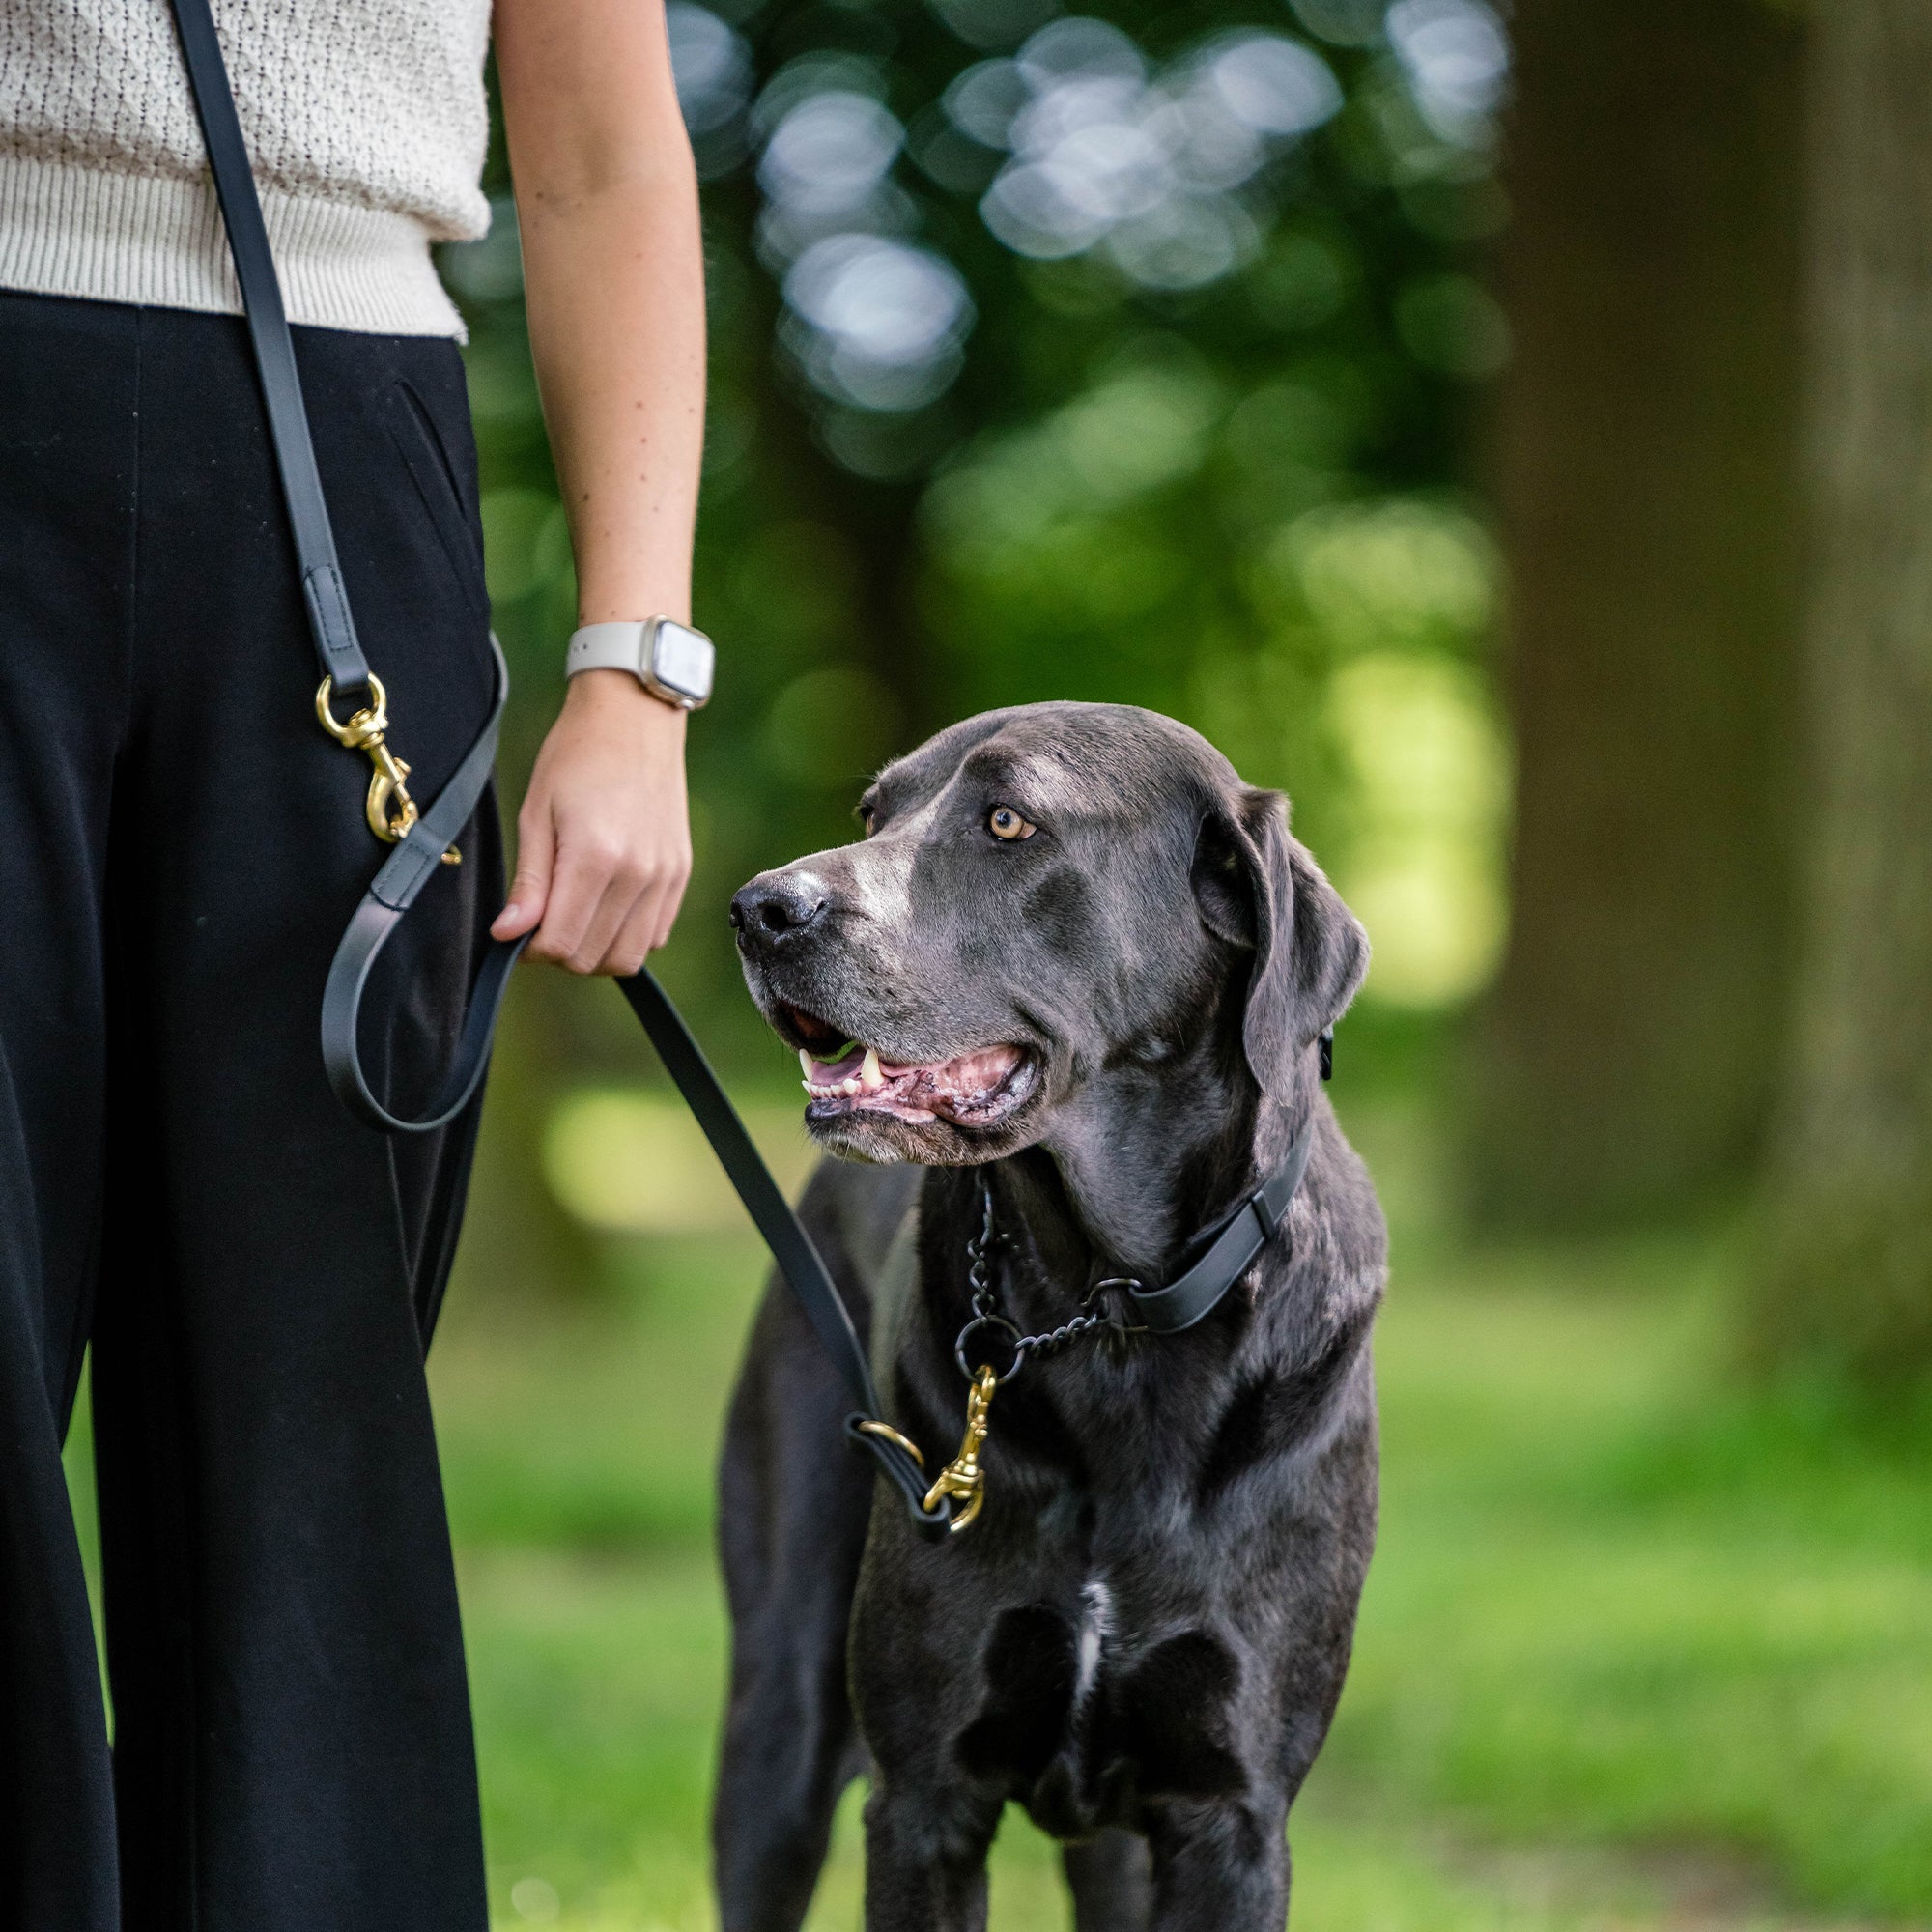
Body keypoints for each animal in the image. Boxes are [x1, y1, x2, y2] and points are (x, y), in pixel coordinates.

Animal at [719, 703, 1383, 1932]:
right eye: (873, 812)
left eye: (1006, 821)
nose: (759, 908)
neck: (1107, 1316)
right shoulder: (923, 1799)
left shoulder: (1232, 1815)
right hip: (776, 1708)